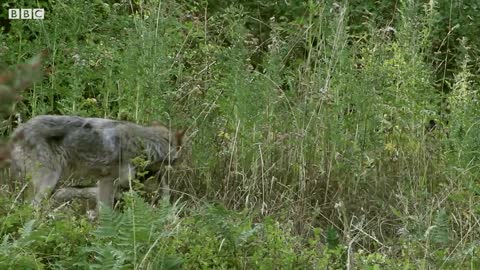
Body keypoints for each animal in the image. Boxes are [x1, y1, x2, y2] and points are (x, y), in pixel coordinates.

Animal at [11, 115, 184, 210]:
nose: (179, 161)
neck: (145, 144)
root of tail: (18, 131)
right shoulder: (109, 181)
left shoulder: (105, 183)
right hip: (48, 182)